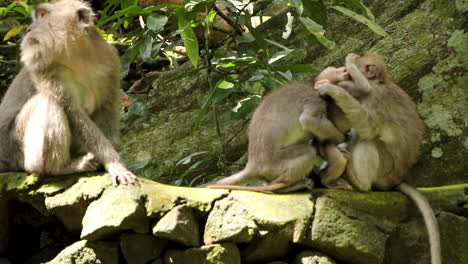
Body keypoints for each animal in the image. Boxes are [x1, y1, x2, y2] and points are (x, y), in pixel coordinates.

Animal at [0, 0, 137, 186]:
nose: (28, 29)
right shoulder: (42, 67)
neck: (76, 55)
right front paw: (114, 163)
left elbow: (106, 107)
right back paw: (60, 168)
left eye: (43, 15)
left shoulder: (110, 61)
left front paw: (114, 162)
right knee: (49, 101)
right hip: (14, 148)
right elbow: (74, 113)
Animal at [316, 52, 440, 264]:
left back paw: (359, 183)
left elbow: (367, 126)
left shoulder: (374, 97)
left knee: (369, 140)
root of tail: (396, 180)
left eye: (346, 73)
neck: (379, 83)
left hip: (385, 169)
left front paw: (332, 89)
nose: (343, 76)